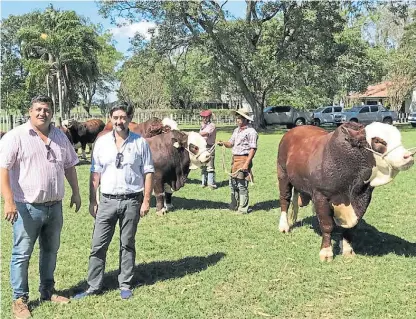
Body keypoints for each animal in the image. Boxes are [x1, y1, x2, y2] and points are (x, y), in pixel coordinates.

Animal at [276, 122, 412, 262]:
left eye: (399, 138)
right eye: (378, 141)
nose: (408, 156)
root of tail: (294, 130)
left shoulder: (364, 198)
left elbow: (350, 228)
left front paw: (347, 250)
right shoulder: (321, 196)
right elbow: (327, 225)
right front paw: (326, 252)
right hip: (282, 173)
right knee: (285, 200)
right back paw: (284, 226)